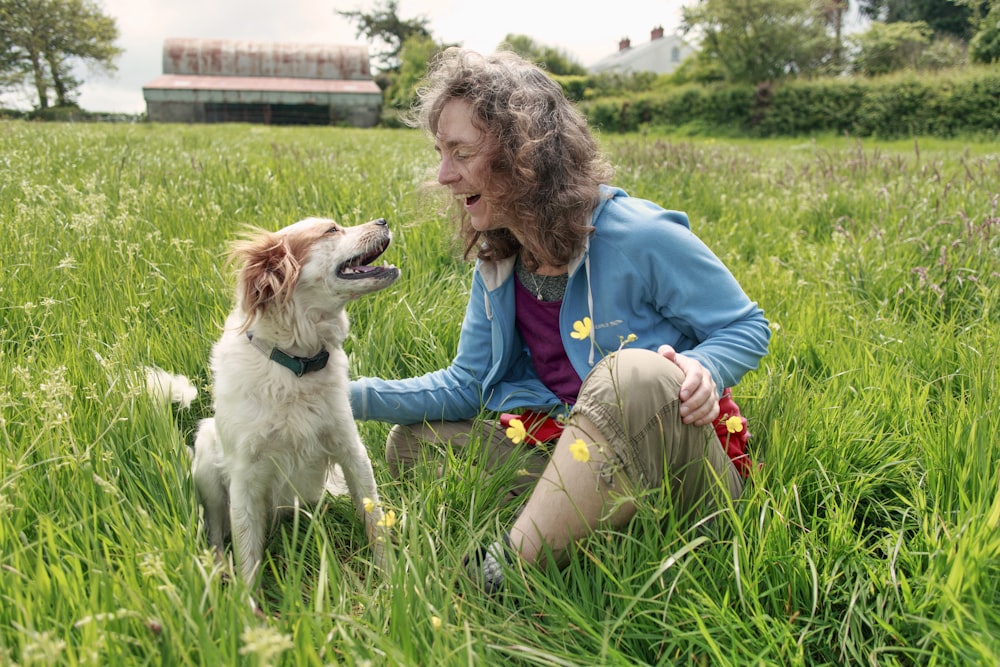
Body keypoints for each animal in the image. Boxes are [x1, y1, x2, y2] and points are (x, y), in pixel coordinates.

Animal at [191, 217, 398, 592]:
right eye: (331, 229)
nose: (383, 220)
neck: (295, 365)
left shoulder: (351, 451)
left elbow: (374, 521)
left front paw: (392, 583)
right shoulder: (244, 477)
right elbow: (246, 552)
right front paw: (245, 603)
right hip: (206, 454)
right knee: (215, 532)